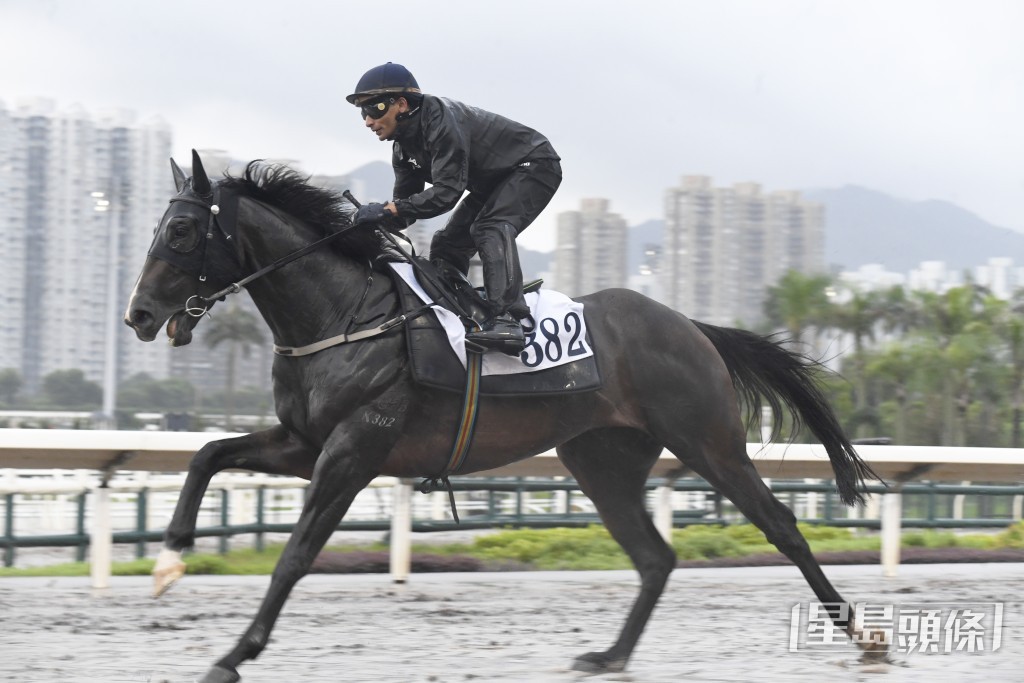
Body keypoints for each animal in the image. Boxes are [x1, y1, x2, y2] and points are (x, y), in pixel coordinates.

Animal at [124, 150, 888, 682]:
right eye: (157, 225)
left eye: (183, 229)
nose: (139, 315)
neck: (344, 316)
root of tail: (692, 327)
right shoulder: (303, 442)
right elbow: (208, 455)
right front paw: (167, 561)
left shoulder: (354, 448)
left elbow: (295, 555)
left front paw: (234, 652)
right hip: (602, 458)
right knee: (654, 555)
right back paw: (610, 656)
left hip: (708, 440)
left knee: (781, 525)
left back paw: (861, 634)